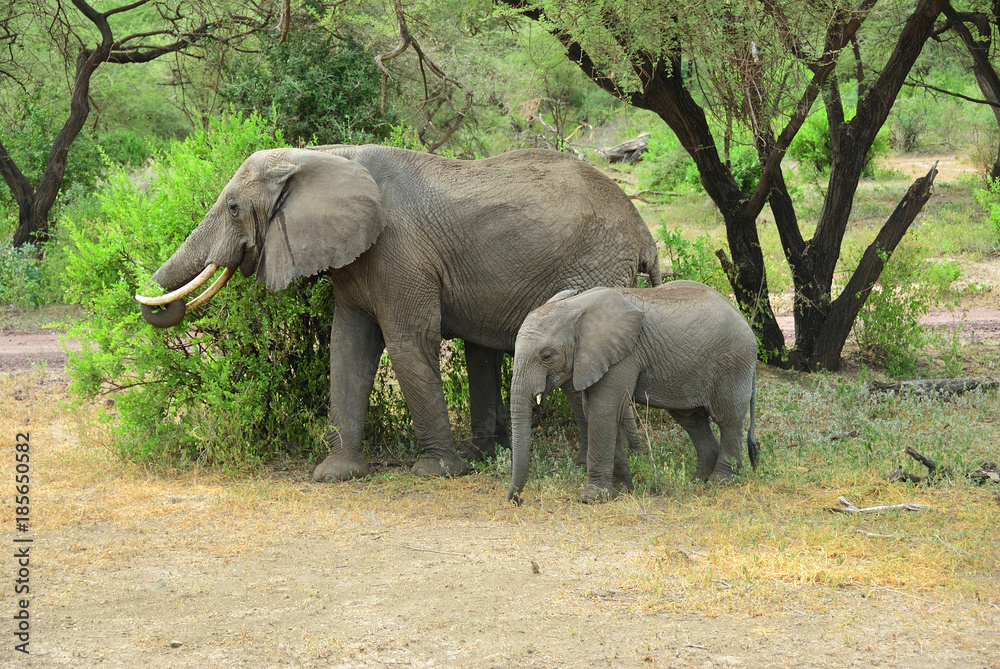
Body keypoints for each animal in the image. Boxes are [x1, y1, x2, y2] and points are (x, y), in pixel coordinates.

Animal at [135, 145, 664, 480]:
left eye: (232, 207)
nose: (146, 300)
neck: (322, 154)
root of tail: (643, 234)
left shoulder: (398, 251)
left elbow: (408, 342)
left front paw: (437, 472)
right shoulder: (355, 257)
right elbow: (347, 348)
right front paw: (335, 475)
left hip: (597, 266)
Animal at [508, 280, 756, 504]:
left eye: (546, 356)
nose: (517, 500)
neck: (576, 306)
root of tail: (744, 320)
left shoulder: (624, 356)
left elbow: (603, 411)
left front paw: (592, 498)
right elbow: (598, 411)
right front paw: (621, 489)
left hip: (734, 362)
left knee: (727, 418)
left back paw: (721, 481)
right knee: (691, 418)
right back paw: (699, 479)